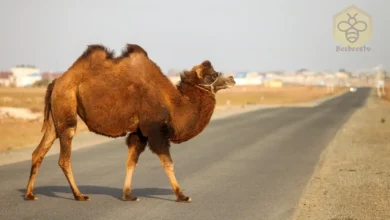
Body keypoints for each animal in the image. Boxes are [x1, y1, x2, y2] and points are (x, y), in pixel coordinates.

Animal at [25, 43, 236, 203]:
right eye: (213, 74)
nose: (232, 78)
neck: (173, 104)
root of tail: (55, 82)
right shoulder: (155, 131)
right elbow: (168, 163)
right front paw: (182, 196)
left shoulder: (139, 133)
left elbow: (130, 162)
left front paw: (128, 195)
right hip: (67, 105)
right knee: (64, 157)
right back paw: (79, 195)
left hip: (56, 117)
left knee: (39, 151)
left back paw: (30, 194)